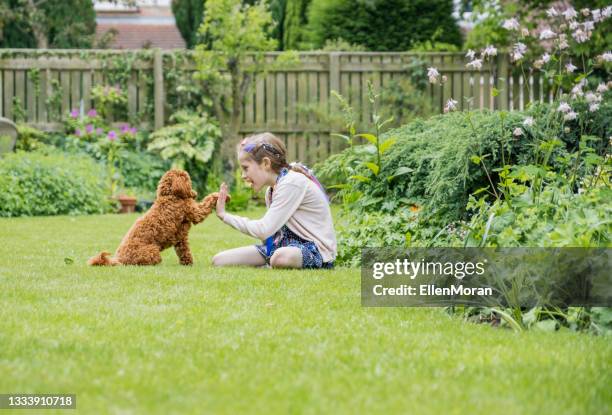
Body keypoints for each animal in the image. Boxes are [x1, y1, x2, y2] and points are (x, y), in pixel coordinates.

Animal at [86, 169, 220, 266]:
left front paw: (187, 263)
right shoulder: (194, 212)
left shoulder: (180, 238)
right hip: (152, 250)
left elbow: (184, 251)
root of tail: (119, 259)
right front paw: (217, 195)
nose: (195, 193)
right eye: (189, 182)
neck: (170, 196)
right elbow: (206, 204)